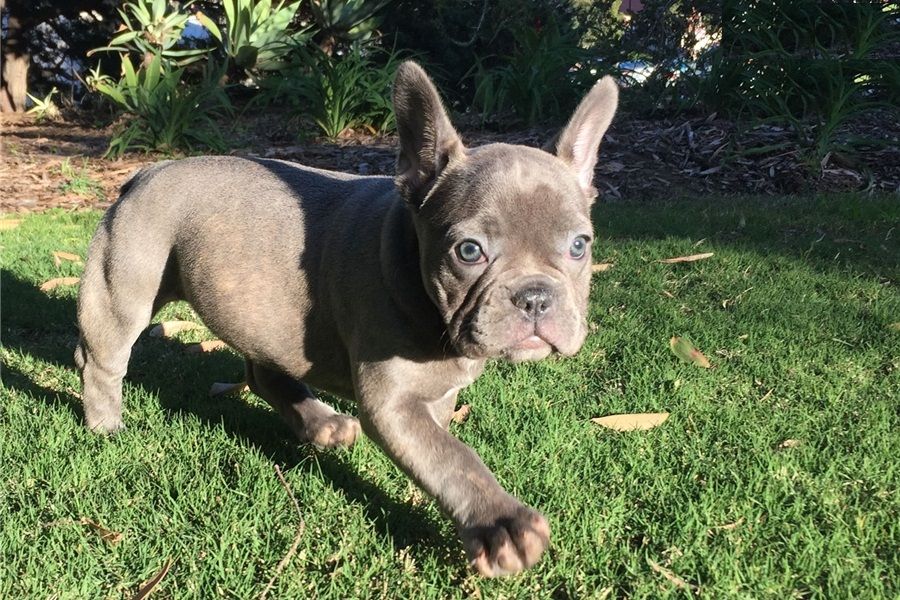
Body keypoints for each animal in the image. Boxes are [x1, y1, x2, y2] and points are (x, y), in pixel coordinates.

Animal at [75, 61, 618, 576]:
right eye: (468, 251)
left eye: (579, 246)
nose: (535, 297)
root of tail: (146, 172)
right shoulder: (392, 401)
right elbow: (454, 457)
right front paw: (500, 521)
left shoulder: (436, 394)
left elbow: (438, 445)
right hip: (126, 284)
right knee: (102, 359)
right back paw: (106, 423)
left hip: (264, 313)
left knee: (264, 368)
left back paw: (319, 423)